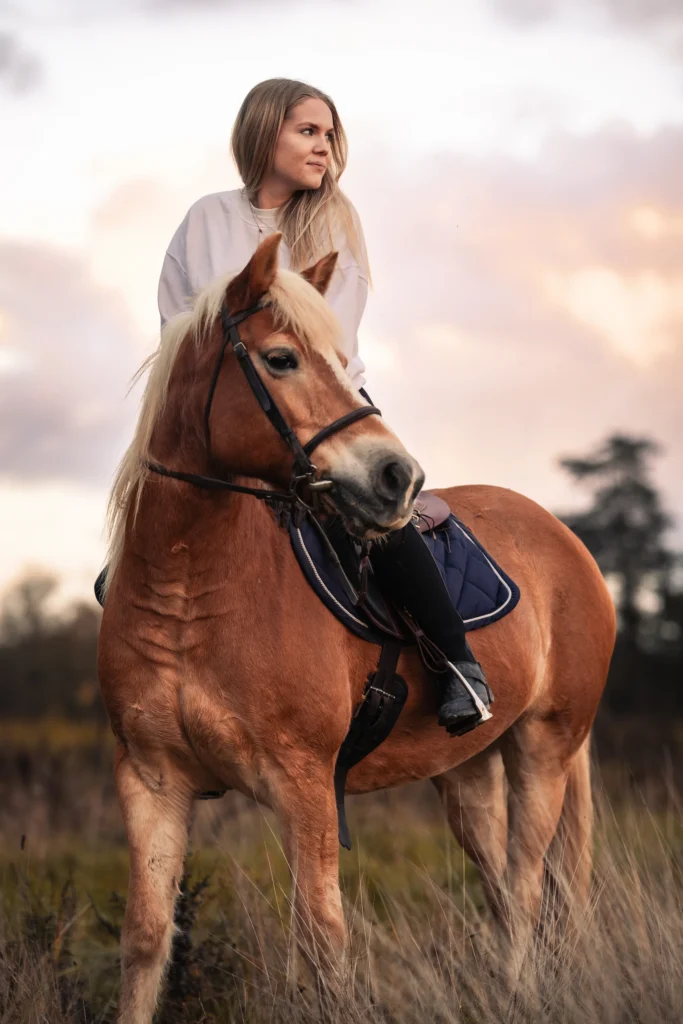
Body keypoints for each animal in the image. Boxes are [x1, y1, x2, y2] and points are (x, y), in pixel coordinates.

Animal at [97, 233, 616, 1023]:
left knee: (527, 888)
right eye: (281, 358)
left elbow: (322, 941)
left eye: (341, 360)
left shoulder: (304, 783)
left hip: (545, 748)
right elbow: (147, 940)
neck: (190, 590)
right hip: (467, 774)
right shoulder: (152, 782)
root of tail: (567, 541)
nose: (399, 477)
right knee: (502, 890)